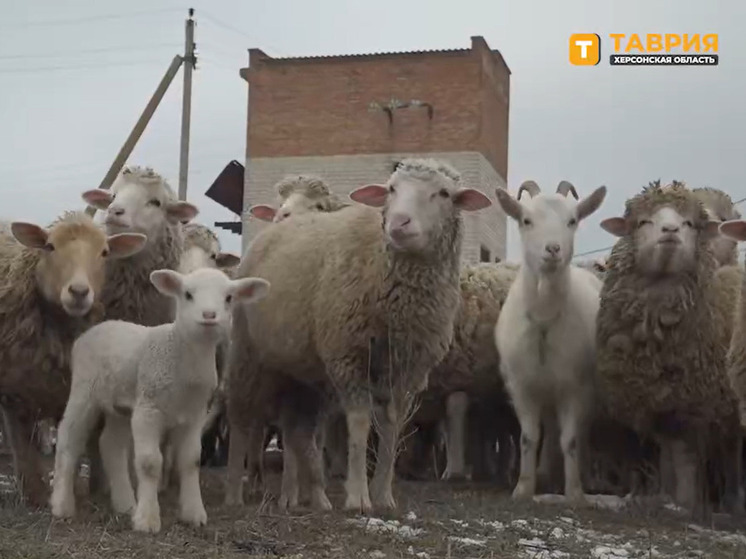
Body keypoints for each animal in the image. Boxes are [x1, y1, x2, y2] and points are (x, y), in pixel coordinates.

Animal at [0, 211, 146, 508]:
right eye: (49, 246)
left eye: (104, 252)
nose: (79, 292)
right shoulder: (14, 396)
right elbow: (23, 449)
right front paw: (34, 495)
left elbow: (76, 443)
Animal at [47, 268, 268, 532]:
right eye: (187, 294)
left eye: (229, 298)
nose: (209, 315)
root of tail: (93, 331)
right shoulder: (148, 410)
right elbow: (150, 463)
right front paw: (147, 519)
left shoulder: (195, 414)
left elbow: (191, 461)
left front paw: (194, 514)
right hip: (84, 390)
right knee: (68, 438)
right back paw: (62, 505)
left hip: (121, 406)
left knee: (110, 444)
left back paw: (125, 504)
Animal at [224, 158, 492, 512]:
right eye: (391, 188)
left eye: (444, 193)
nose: (399, 222)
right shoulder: (348, 356)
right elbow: (360, 424)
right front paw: (358, 497)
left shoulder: (406, 369)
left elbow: (392, 427)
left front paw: (383, 495)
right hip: (247, 350)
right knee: (241, 418)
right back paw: (236, 492)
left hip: (298, 369)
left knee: (297, 429)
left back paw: (308, 495)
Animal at [494, 180, 604, 508]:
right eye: (526, 220)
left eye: (572, 220)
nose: (553, 249)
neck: (544, 319)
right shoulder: (522, 386)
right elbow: (529, 437)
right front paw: (523, 489)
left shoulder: (577, 387)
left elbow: (571, 440)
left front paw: (575, 494)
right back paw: (545, 473)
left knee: (579, 433)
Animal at [592, 180, 740, 516]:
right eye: (643, 222)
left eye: (690, 224)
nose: (670, 230)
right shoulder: (659, 402)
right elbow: (669, 456)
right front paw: (666, 496)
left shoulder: (694, 405)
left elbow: (685, 458)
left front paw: (684, 502)